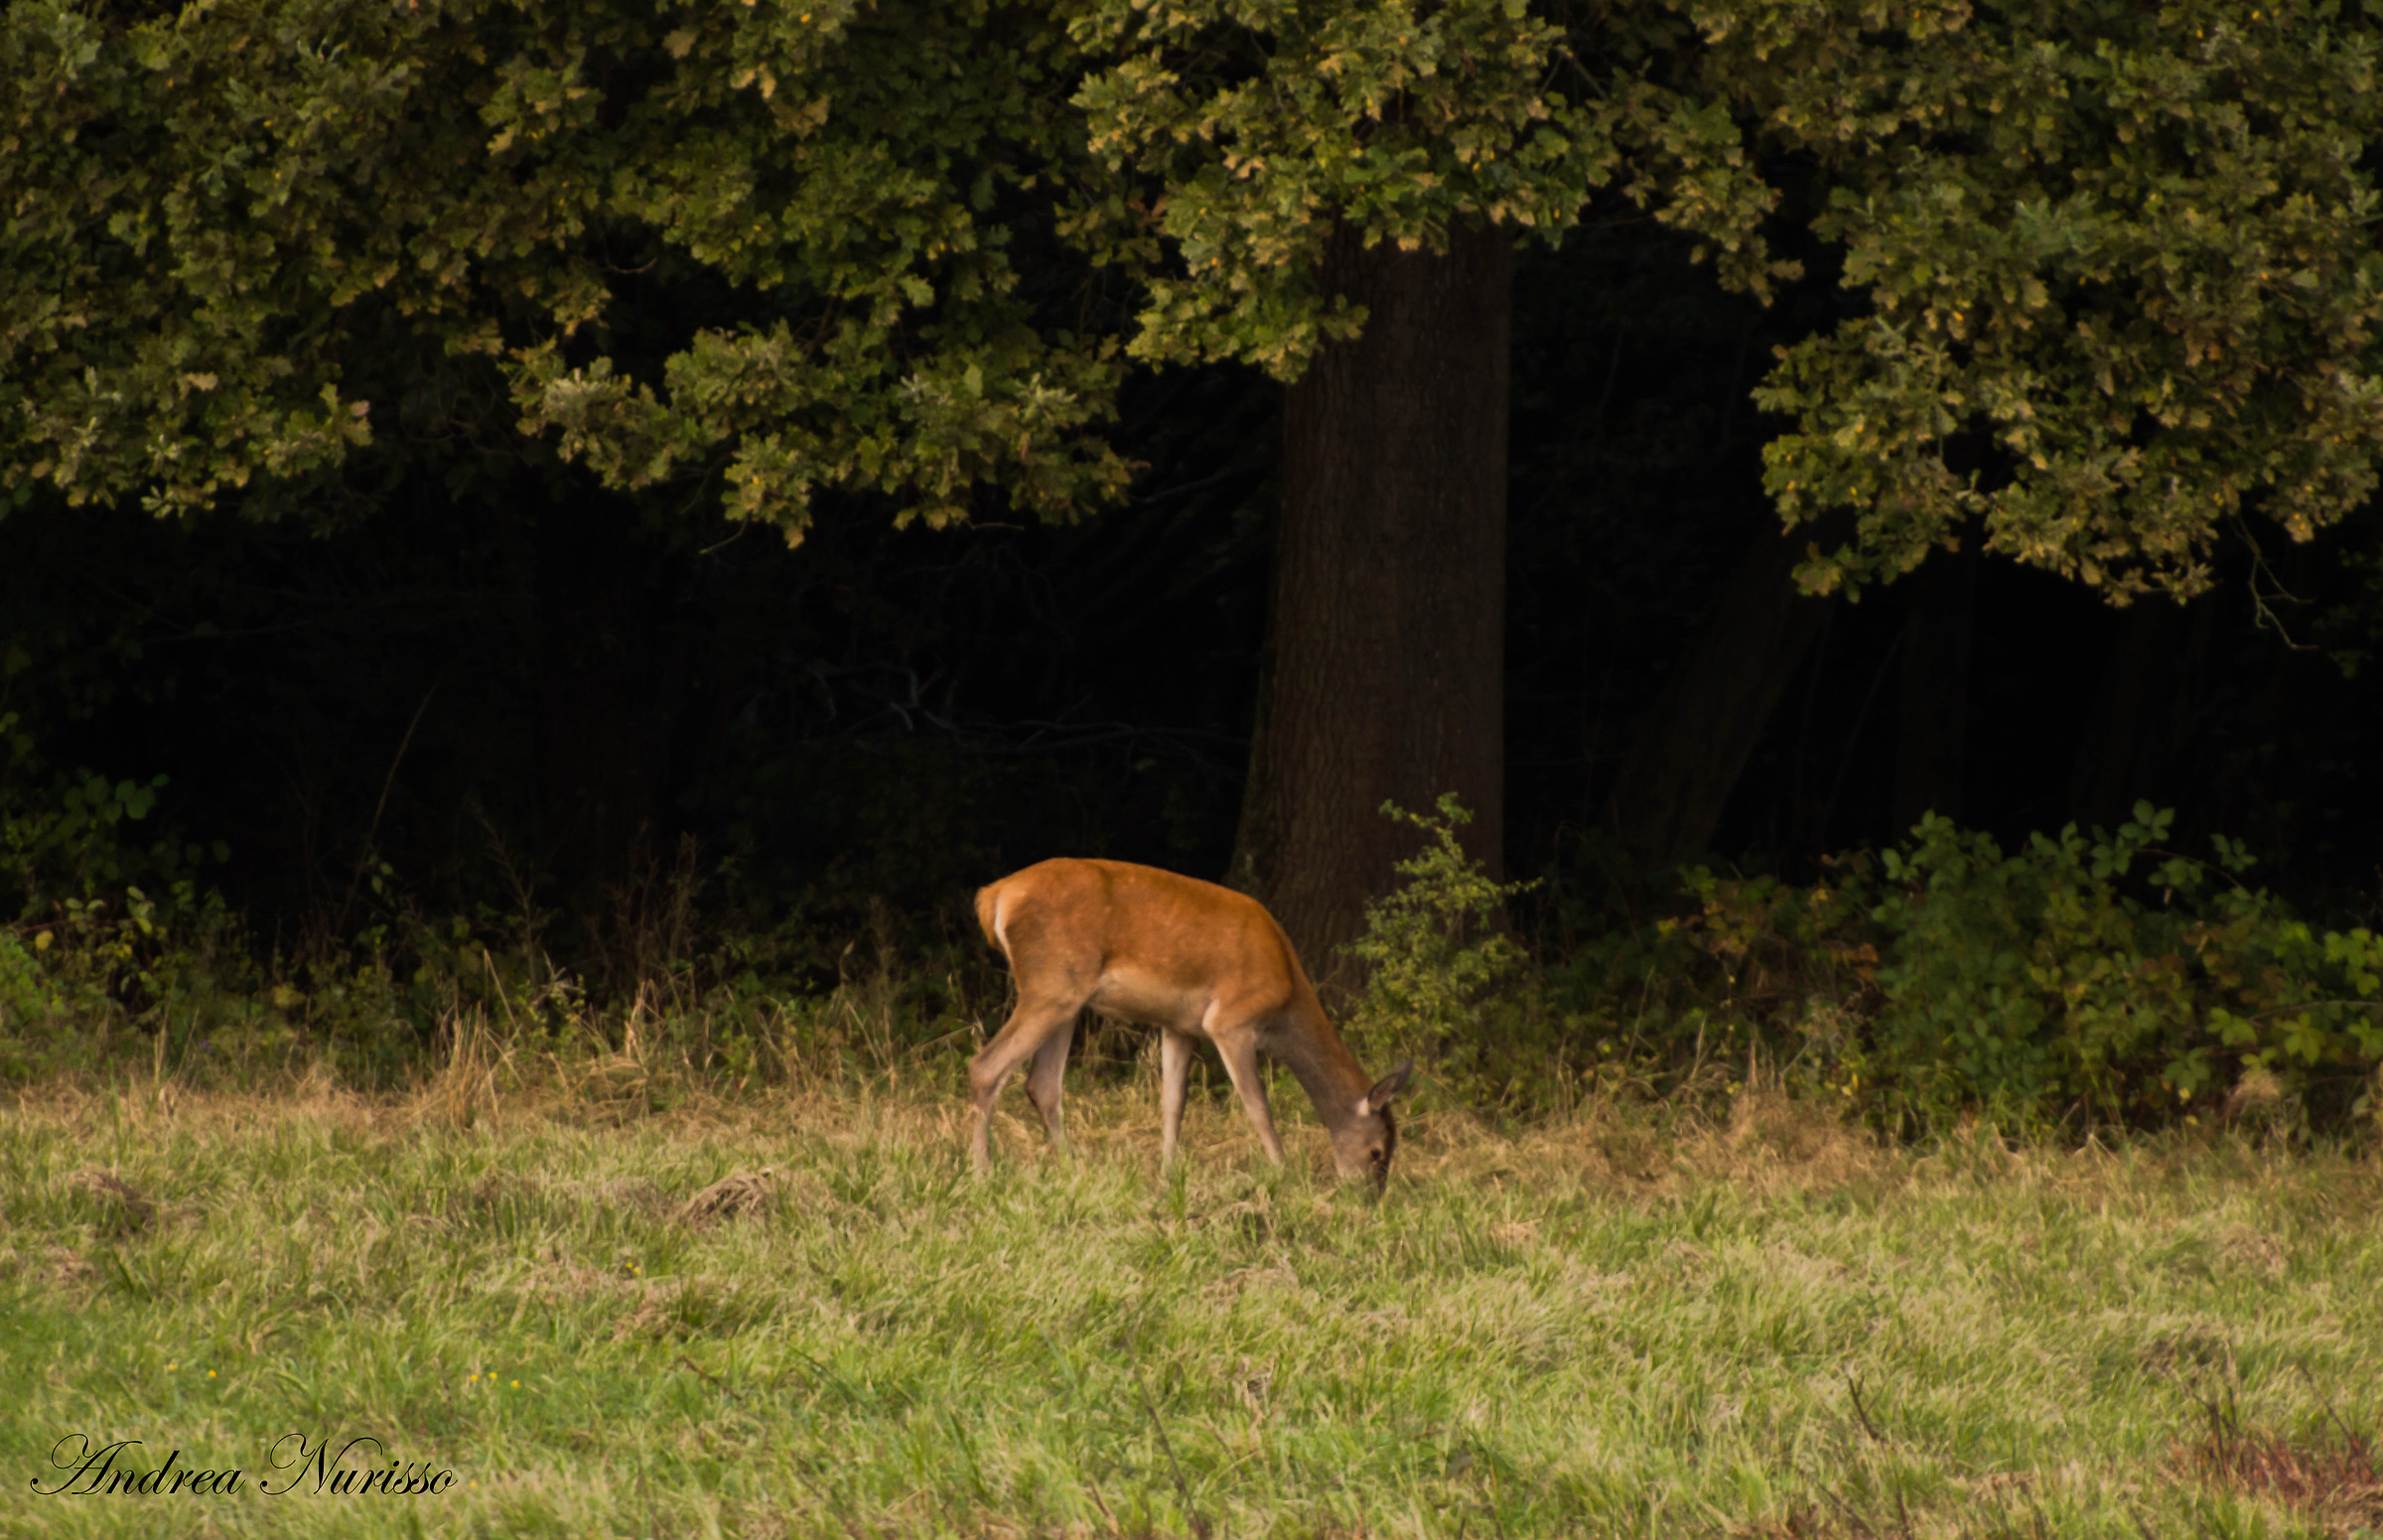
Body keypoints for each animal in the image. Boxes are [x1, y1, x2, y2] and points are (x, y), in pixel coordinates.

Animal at [968, 857, 1412, 1189]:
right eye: (1377, 1152)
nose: (1371, 1199)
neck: (1286, 995)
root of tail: (994, 896)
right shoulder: (1230, 1020)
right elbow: (1258, 1106)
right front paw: (1283, 1175)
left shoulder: (1180, 1026)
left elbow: (1173, 1102)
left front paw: (1168, 1175)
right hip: (1052, 985)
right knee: (985, 1067)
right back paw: (982, 1173)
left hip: (1066, 997)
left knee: (1041, 1084)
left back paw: (1072, 1167)